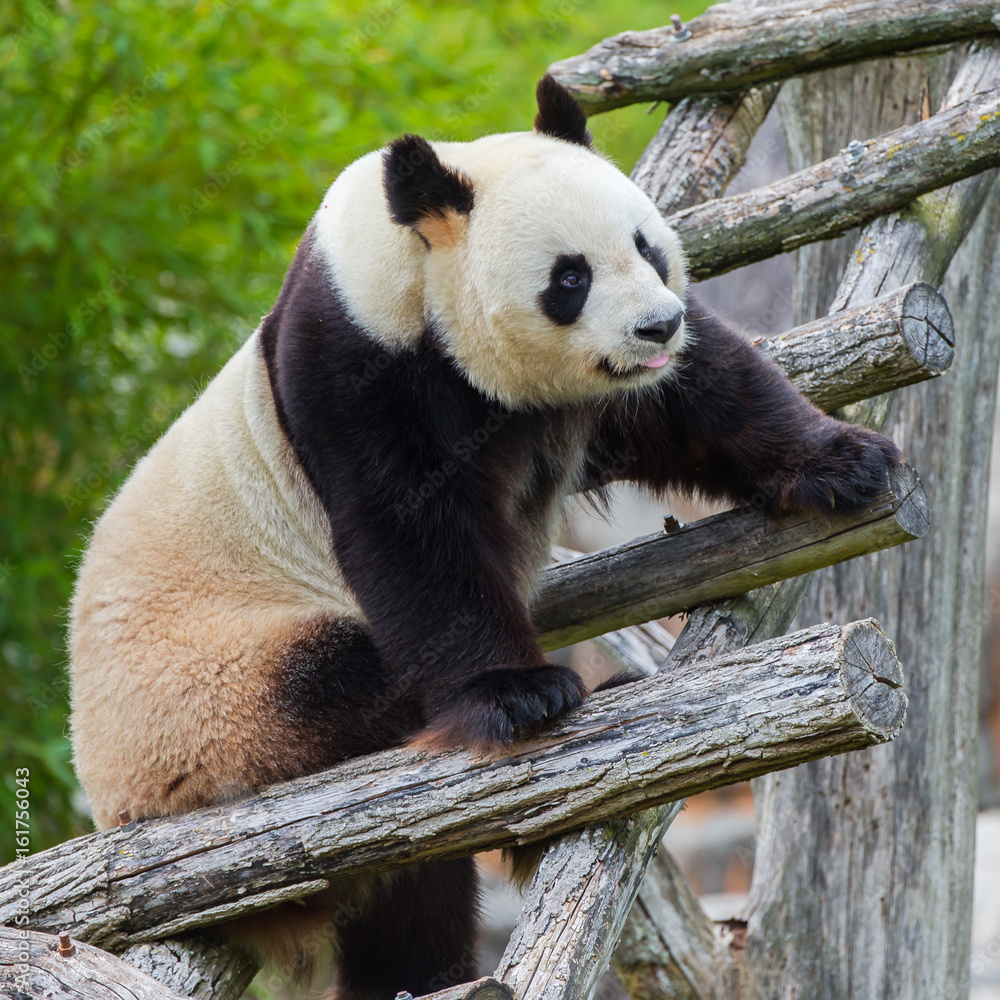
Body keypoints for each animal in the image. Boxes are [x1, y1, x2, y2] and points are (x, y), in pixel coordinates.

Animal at [70, 75, 899, 999]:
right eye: (569, 278)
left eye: (647, 247)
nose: (656, 325)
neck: (402, 272)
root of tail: (112, 800)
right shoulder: (357, 372)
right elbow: (410, 534)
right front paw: (519, 694)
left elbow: (700, 394)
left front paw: (844, 461)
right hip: (208, 700)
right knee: (338, 683)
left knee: (412, 899)